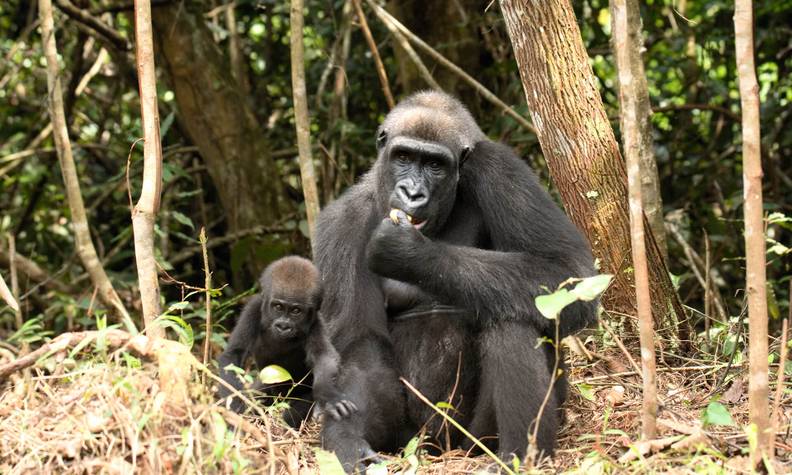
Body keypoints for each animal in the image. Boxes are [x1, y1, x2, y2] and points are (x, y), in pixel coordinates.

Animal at [215, 258, 354, 426]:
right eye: (278, 307)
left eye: (296, 311)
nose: (283, 326)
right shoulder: (254, 307)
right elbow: (233, 354)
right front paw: (235, 404)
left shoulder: (316, 323)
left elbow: (324, 357)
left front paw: (329, 396)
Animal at [312, 91, 596, 470]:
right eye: (403, 157)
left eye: (435, 165)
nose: (412, 193)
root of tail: (442, 450)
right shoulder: (343, 223)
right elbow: (361, 344)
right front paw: (346, 439)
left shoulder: (498, 167)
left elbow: (567, 270)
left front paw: (411, 253)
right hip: (409, 441)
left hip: (472, 441)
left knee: (516, 314)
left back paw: (519, 455)